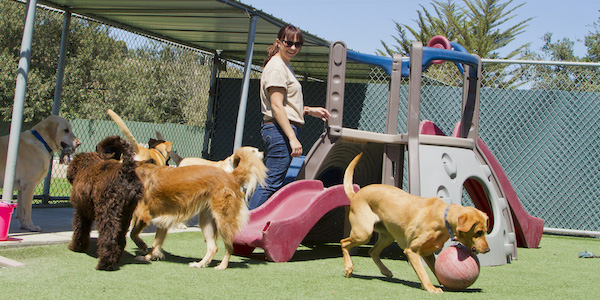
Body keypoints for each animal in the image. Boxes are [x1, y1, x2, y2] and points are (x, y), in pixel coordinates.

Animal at [66, 136, 144, 272]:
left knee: (109, 237)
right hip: (126, 214)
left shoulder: (81, 211)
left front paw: (76, 247)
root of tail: (126, 171)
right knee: (120, 238)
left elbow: (79, 230)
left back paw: (104, 263)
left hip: (107, 211)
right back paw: (116, 258)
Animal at [131, 148, 268, 270]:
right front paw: (148, 257)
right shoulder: (162, 222)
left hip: (223, 220)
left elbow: (133, 233)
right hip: (207, 220)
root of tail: (231, 176)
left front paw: (142, 247)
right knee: (213, 247)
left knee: (229, 247)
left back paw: (222, 266)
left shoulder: (143, 214)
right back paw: (200, 264)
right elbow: (155, 243)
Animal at [340, 154, 490, 294]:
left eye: (485, 231)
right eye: (478, 232)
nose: (488, 250)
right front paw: (430, 288)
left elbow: (436, 270)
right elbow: (423, 272)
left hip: (388, 236)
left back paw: (386, 271)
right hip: (363, 233)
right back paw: (348, 268)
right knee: (344, 243)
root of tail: (356, 195)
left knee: (372, 251)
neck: (442, 217)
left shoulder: (428, 253)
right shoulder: (412, 251)